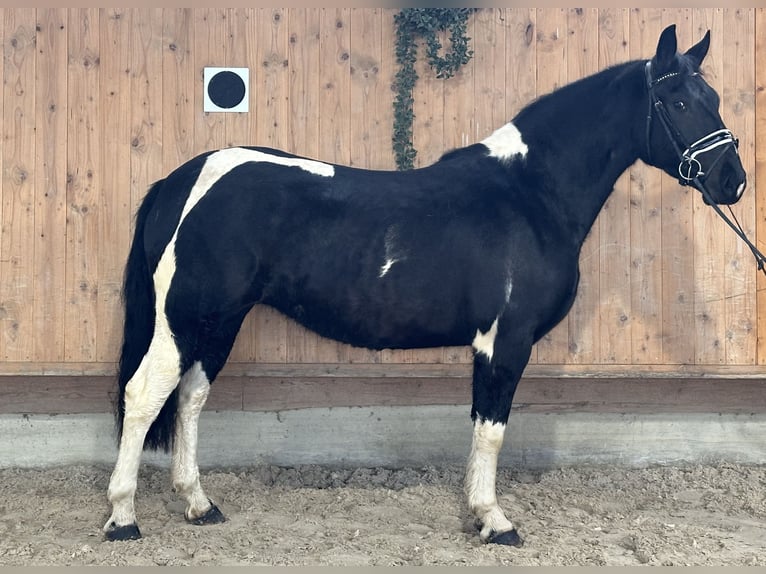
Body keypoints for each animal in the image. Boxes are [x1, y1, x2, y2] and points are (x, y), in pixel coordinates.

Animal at [102, 25, 744, 548]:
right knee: (145, 393)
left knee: (189, 397)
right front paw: (495, 521)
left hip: (220, 320)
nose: (732, 181)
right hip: (186, 316)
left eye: (713, 99)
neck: (529, 194)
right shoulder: (504, 341)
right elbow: (492, 430)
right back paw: (123, 518)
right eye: (678, 101)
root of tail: (181, 180)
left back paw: (199, 505)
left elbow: (481, 427)